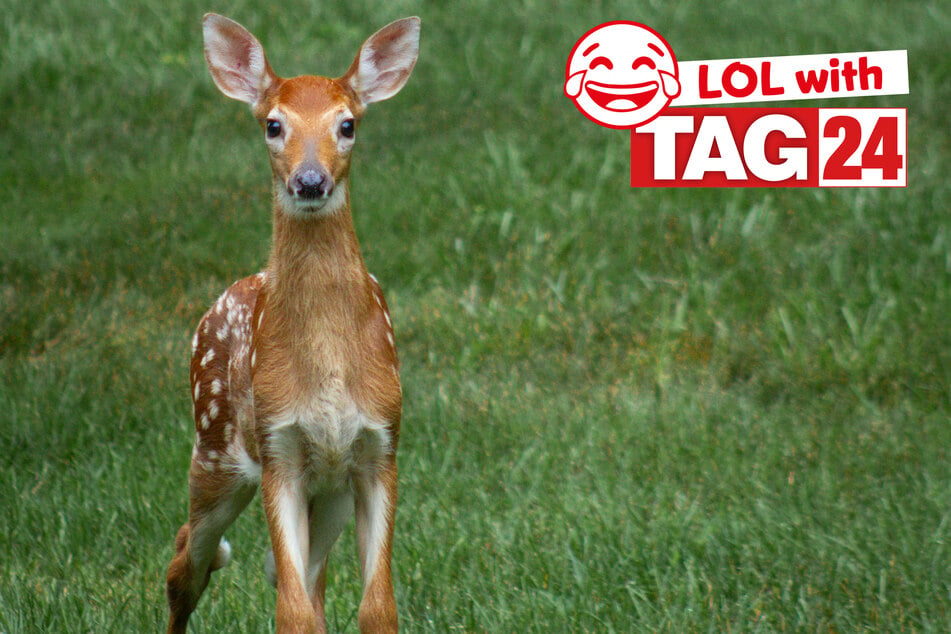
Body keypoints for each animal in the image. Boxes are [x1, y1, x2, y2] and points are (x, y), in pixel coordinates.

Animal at [164, 13, 419, 634]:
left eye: (347, 124)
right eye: (272, 125)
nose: (309, 181)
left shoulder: (381, 445)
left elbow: (376, 608)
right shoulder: (279, 446)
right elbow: (293, 613)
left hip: (326, 493)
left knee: (303, 578)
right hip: (216, 449)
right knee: (186, 563)